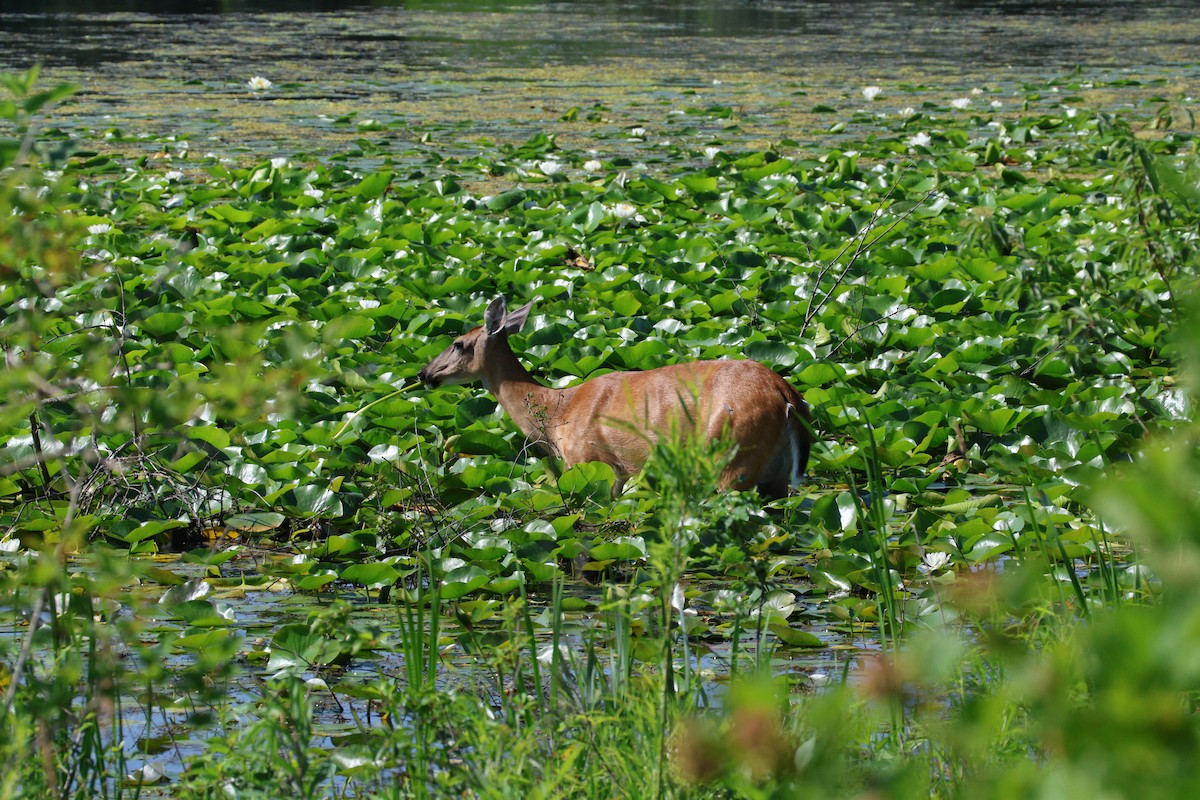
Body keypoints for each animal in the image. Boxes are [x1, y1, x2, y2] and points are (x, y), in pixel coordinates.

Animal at [416, 295, 811, 499]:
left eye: (458, 344)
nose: (424, 374)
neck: (558, 412)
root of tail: (785, 392)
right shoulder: (618, 474)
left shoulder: (586, 461)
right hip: (777, 477)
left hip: (730, 455)